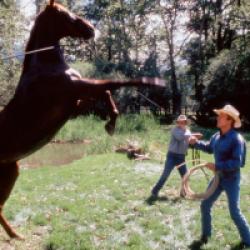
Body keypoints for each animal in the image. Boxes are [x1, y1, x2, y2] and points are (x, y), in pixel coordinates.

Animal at [0, 0, 165, 238]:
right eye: (67, 15)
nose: (91, 30)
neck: (45, 66)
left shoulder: (75, 104)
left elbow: (106, 92)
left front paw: (111, 124)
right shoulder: (77, 89)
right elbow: (114, 83)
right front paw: (153, 82)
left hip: (11, 172)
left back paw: (16, 235)